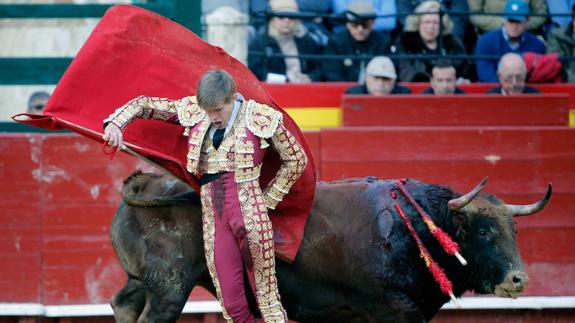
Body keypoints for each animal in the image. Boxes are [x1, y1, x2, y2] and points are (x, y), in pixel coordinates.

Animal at [109, 173, 552, 323]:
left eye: (514, 229)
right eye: (483, 232)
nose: (519, 279)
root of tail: (146, 181)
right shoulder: (393, 311)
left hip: (145, 282)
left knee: (123, 304)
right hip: (171, 289)